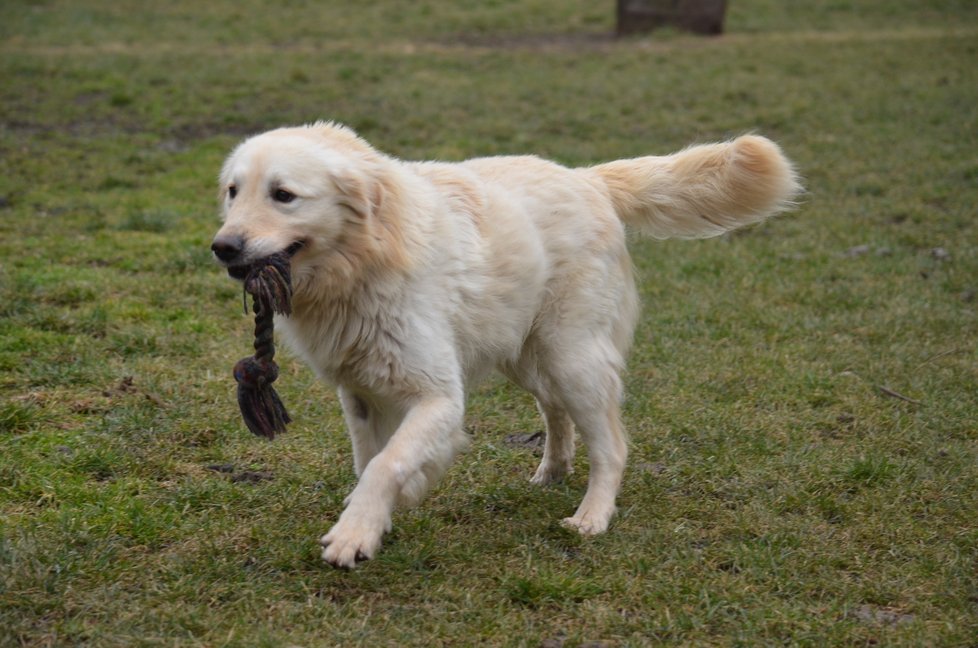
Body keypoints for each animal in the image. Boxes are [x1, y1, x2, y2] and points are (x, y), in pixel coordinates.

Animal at [210, 121, 796, 568]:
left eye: (284, 195)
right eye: (234, 192)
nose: (222, 247)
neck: (361, 262)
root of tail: (587, 178)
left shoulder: (440, 397)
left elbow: (387, 464)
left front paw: (355, 534)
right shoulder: (358, 395)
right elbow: (368, 460)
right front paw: (380, 517)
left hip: (572, 355)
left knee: (610, 444)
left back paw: (591, 516)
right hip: (527, 354)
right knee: (556, 414)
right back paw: (551, 472)